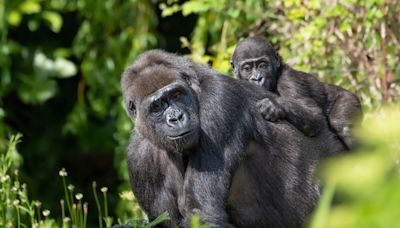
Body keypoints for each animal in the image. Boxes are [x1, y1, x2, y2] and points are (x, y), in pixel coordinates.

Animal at [120, 50, 346, 228]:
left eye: (176, 95)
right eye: (157, 106)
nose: (176, 118)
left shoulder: (218, 99)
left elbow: (202, 213)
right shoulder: (138, 159)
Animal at [231, 36, 362, 150]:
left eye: (262, 65)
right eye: (247, 68)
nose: (257, 78)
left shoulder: (289, 79)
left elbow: (314, 115)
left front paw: (273, 105)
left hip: (348, 97)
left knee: (344, 128)